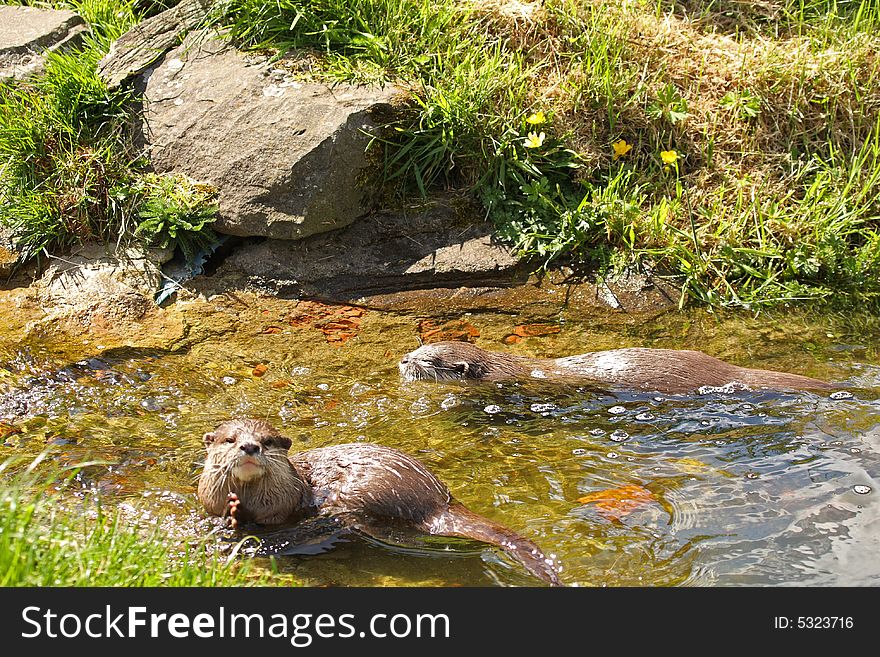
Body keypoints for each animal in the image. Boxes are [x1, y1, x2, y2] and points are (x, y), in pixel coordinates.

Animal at [197, 416, 560, 584]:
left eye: (267, 440)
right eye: (231, 439)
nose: (250, 447)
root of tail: (438, 499)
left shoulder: (284, 512)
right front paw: (231, 513)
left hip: (369, 490)